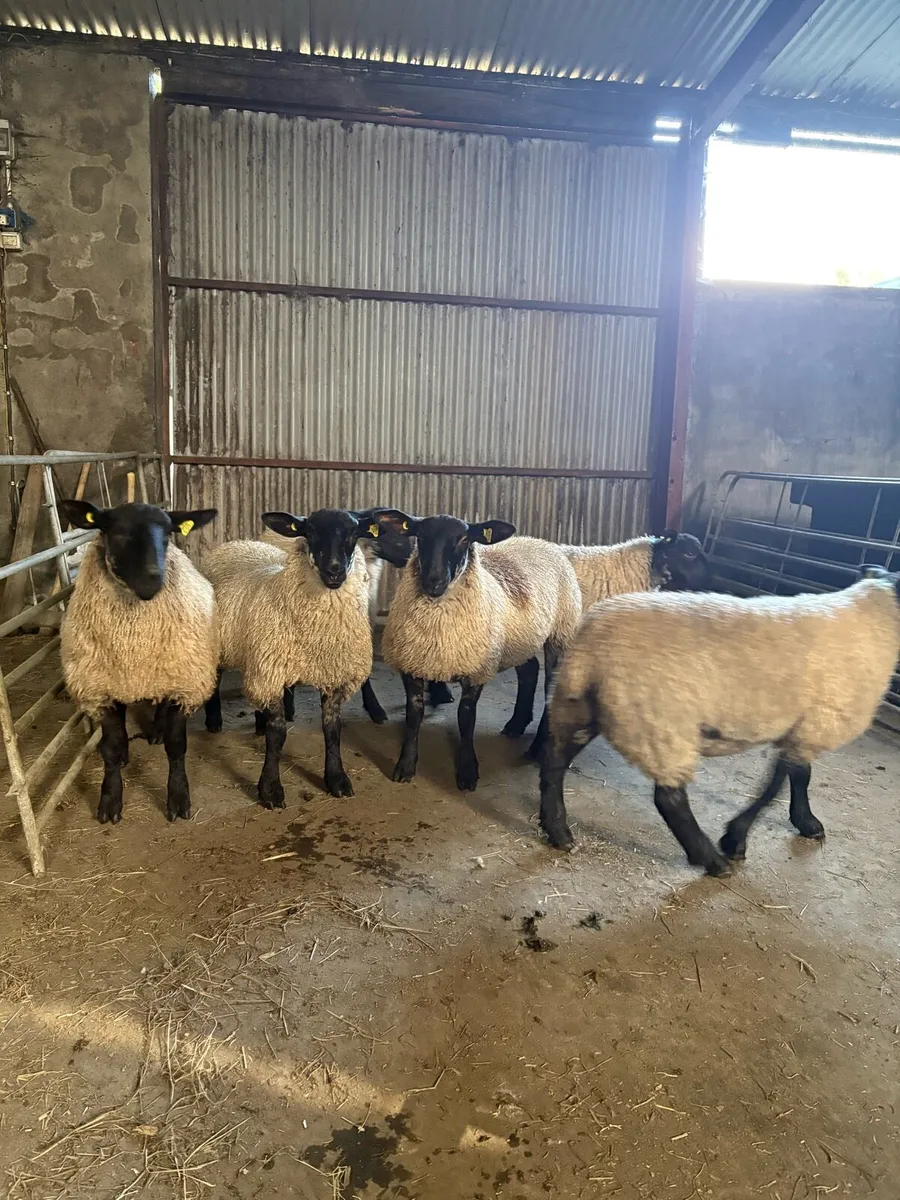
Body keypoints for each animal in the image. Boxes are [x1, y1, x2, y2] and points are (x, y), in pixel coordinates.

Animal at [58, 500, 219, 824]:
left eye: (168, 534)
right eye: (117, 532)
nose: (152, 580)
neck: (135, 643)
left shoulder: (181, 684)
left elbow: (176, 745)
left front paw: (178, 798)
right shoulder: (101, 690)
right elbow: (111, 747)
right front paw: (110, 800)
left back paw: (156, 731)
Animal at [203, 507, 392, 806]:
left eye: (353, 533)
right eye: (310, 532)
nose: (335, 570)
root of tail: (237, 543)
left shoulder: (331, 675)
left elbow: (332, 729)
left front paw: (336, 778)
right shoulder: (272, 672)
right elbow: (278, 734)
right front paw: (270, 788)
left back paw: (258, 722)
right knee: (216, 675)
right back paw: (213, 721)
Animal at [375, 510, 582, 790]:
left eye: (464, 539)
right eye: (421, 536)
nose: (434, 581)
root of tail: (541, 542)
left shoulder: (476, 669)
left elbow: (466, 718)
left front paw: (467, 771)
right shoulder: (412, 663)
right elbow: (414, 714)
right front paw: (405, 765)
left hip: (560, 635)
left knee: (550, 689)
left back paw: (537, 748)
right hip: (520, 641)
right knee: (529, 670)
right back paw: (516, 724)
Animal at [537, 567, 900, 875]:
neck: (875, 616)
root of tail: (591, 642)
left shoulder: (802, 726)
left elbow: (793, 776)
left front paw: (803, 822)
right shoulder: (816, 722)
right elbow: (785, 780)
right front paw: (737, 839)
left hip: (580, 706)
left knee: (554, 761)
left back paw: (557, 829)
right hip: (661, 721)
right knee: (669, 798)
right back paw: (711, 860)